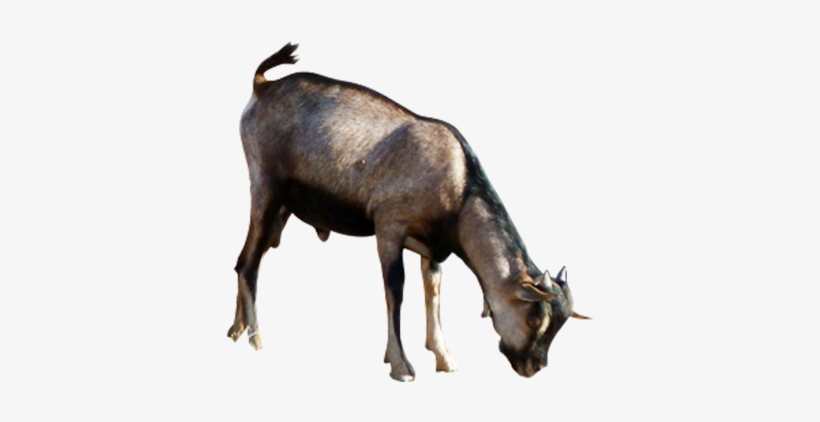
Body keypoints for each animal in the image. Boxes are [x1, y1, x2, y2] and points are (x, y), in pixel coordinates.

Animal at [228, 43, 589, 381]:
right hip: (266, 187)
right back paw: (255, 339)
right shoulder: (389, 227)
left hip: (282, 210)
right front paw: (401, 365)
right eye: (535, 317)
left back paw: (236, 331)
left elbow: (433, 296)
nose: (533, 367)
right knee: (248, 263)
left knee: (250, 258)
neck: (459, 186)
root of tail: (262, 86)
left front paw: (444, 359)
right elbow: (395, 291)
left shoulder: (433, 250)